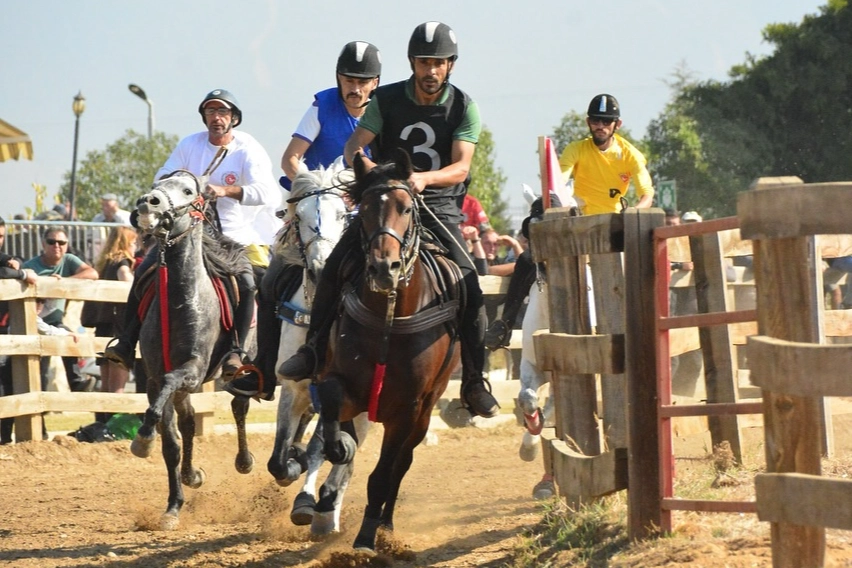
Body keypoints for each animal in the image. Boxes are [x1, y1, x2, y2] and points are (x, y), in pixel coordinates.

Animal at [130, 171, 255, 532]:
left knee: (239, 406)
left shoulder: (193, 370)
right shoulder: (153, 378)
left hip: (241, 369)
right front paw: (173, 505)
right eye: (159, 182)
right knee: (187, 423)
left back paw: (244, 461)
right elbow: (171, 441)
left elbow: (170, 393)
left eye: (188, 190)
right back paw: (190, 475)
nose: (149, 203)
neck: (179, 300)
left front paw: (143, 438)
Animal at [314, 149, 462, 552]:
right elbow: (331, 403)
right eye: (363, 209)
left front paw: (366, 538)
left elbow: (384, 474)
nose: (384, 267)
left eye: (406, 208)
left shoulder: (408, 409)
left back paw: (385, 526)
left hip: (426, 410)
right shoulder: (343, 382)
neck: (388, 319)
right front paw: (340, 447)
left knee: (400, 465)